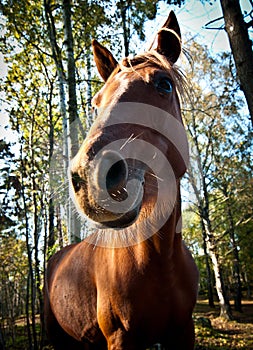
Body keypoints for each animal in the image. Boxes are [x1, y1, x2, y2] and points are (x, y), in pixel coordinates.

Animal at [44, 11, 200, 350]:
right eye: (96, 102)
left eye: (164, 84)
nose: (89, 176)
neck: (160, 260)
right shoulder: (119, 338)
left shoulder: (184, 332)